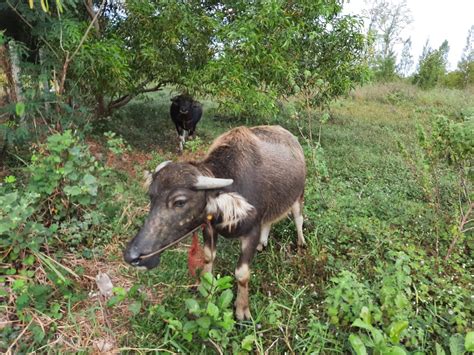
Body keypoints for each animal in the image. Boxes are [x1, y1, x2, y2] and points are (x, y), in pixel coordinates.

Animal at [124, 126, 306, 322]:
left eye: (180, 201)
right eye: (151, 196)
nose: (132, 256)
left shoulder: (252, 231)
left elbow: (242, 273)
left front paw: (242, 310)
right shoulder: (210, 228)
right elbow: (208, 257)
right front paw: (204, 287)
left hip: (298, 195)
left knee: (298, 218)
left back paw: (301, 243)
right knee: (269, 220)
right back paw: (262, 244)